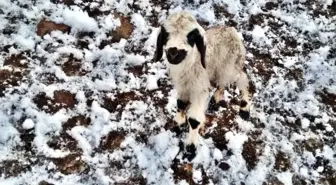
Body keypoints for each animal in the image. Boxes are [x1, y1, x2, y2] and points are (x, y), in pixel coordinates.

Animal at [154, 10, 251, 151]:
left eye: (191, 36)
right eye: (166, 34)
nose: (173, 53)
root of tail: (231, 30)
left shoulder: (200, 89)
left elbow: (194, 120)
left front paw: (191, 146)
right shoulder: (183, 87)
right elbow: (180, 104)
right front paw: (178, 124)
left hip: (230, 66)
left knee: (242, 78)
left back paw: (245, 108)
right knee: (222, 83)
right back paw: (216, 99)